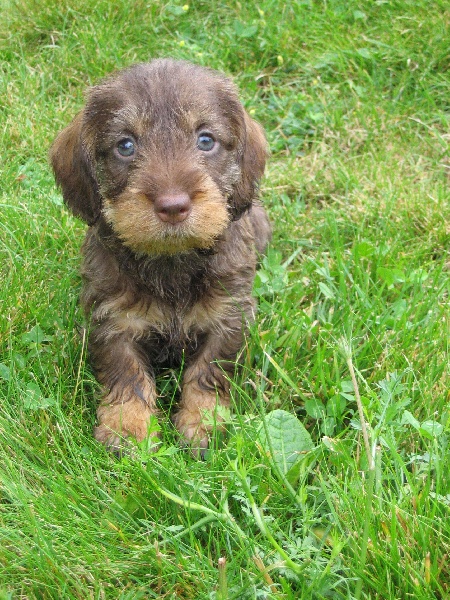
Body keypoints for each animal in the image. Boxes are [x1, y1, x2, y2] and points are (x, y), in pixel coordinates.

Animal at [51, 59, 270, 454]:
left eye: (205, 140)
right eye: (125, 145)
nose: (172, 206)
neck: (171, 261)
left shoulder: (229, 316)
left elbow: (209, 371)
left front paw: (203, 422)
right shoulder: (114, 320)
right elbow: (127, 372)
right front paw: (128, 427)